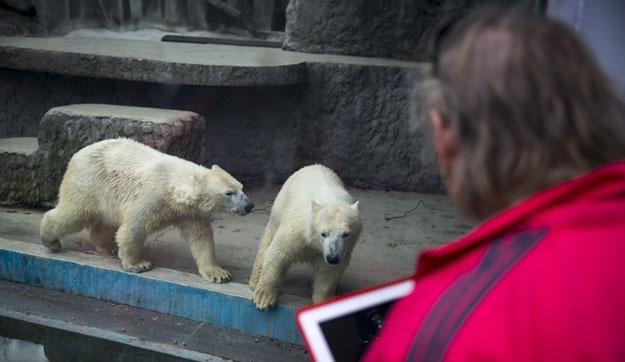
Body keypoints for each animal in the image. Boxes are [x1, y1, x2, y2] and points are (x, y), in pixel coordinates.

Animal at [40, 139, 254, 282]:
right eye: (229, 192)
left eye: (242, 187)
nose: (249, 205)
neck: (174, 185)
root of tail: (77, 153)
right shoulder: (153, 195)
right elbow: (133, 227)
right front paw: (138, 264)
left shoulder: (189, 212)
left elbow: (201, 237)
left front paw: (218, 273)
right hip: (89, 182)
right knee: (73, 213)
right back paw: (51, 241)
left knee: (104, 223)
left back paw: (108, 247)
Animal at [249, 165, 360, 310]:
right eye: (323, 233)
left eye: (345, 234)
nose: (332, 258)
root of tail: (313, 165)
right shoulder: (297, 230)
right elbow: (278, 254)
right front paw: (263, 298)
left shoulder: (342, 251)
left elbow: (328, 273)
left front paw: (325, 302)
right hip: (281, 204)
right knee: (267, 241)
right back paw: (254, 281)